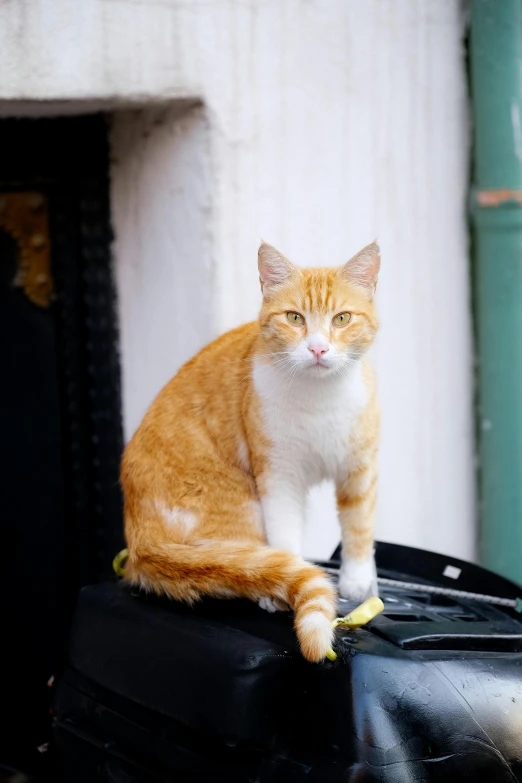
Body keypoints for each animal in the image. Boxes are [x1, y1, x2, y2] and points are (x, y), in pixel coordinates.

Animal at [121, 239, 378, 660]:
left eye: (341, 319)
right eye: (294, 317)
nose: (318, 349)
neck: (319, 397)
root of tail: (140, 542)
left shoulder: (360, 467)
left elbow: (358, 528)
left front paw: (357, 581)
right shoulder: (278, 474)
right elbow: (285, 536)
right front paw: (288, 583)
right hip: (241, 507)